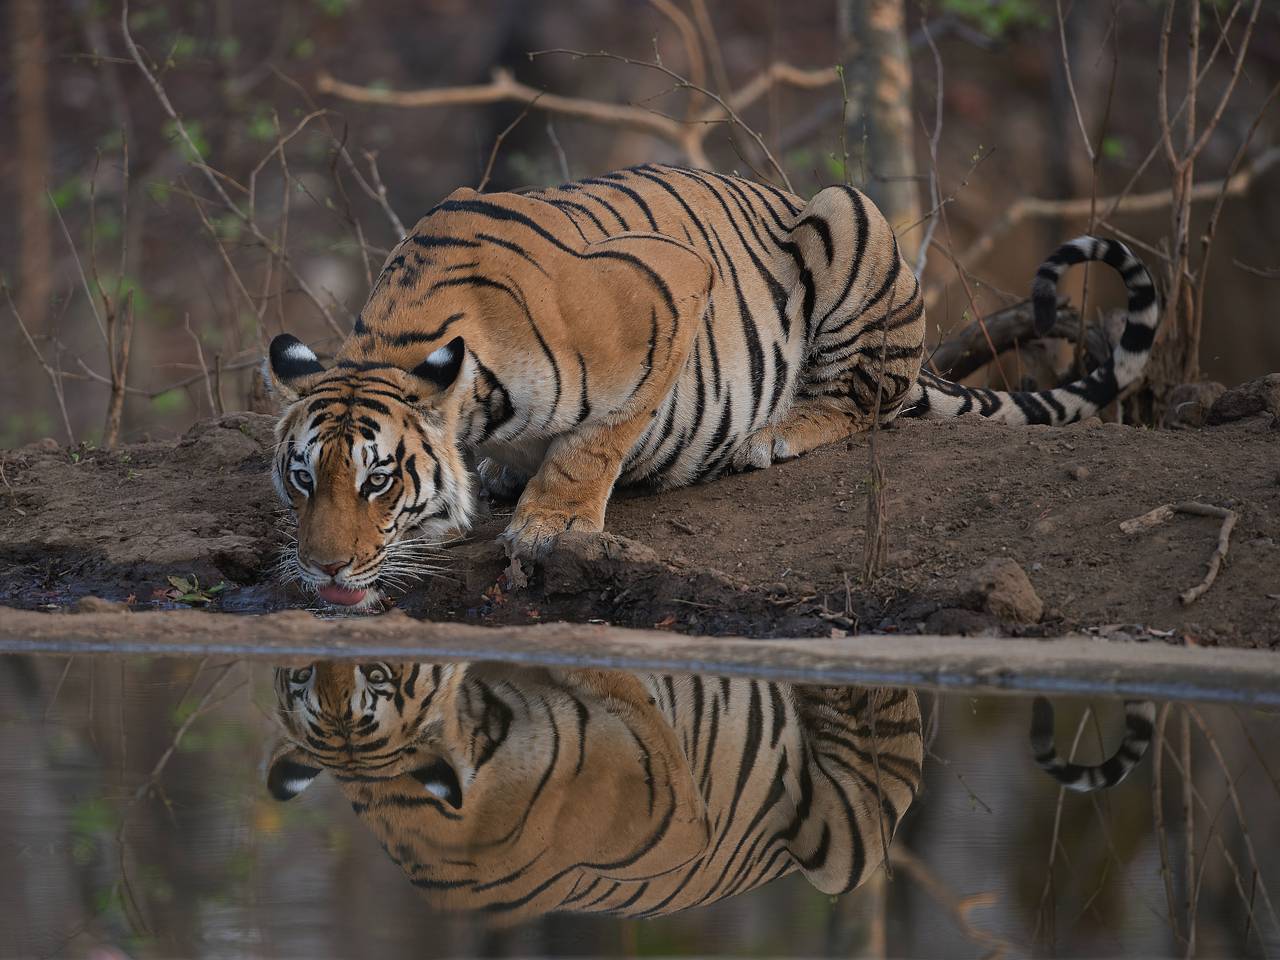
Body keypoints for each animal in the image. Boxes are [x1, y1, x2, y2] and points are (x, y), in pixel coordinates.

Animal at [267, 161, 1162, 604]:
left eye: (379, 481)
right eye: (302, 478)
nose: (323, 571)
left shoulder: (668, 286)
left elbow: (597, 440)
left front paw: (550, 524)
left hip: (848, 217)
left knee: (865, 401)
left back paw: (777, 434)